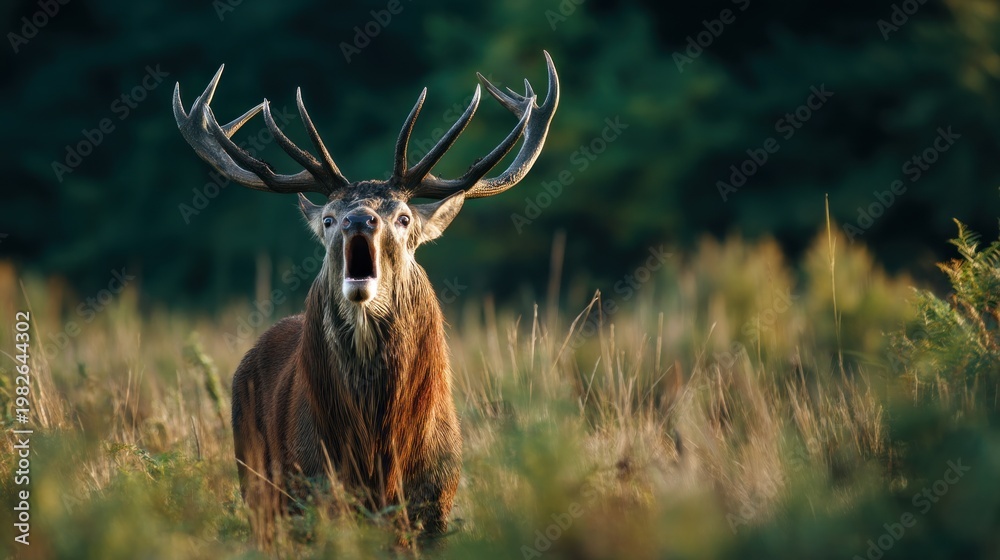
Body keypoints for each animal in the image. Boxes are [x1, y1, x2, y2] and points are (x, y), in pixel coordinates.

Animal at [172, 53, 559, 546]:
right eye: (329, 218)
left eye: (404, 217)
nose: (359, 218)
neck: (377, 452)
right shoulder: (316, 489)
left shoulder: (436, 500)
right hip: (256, 481)